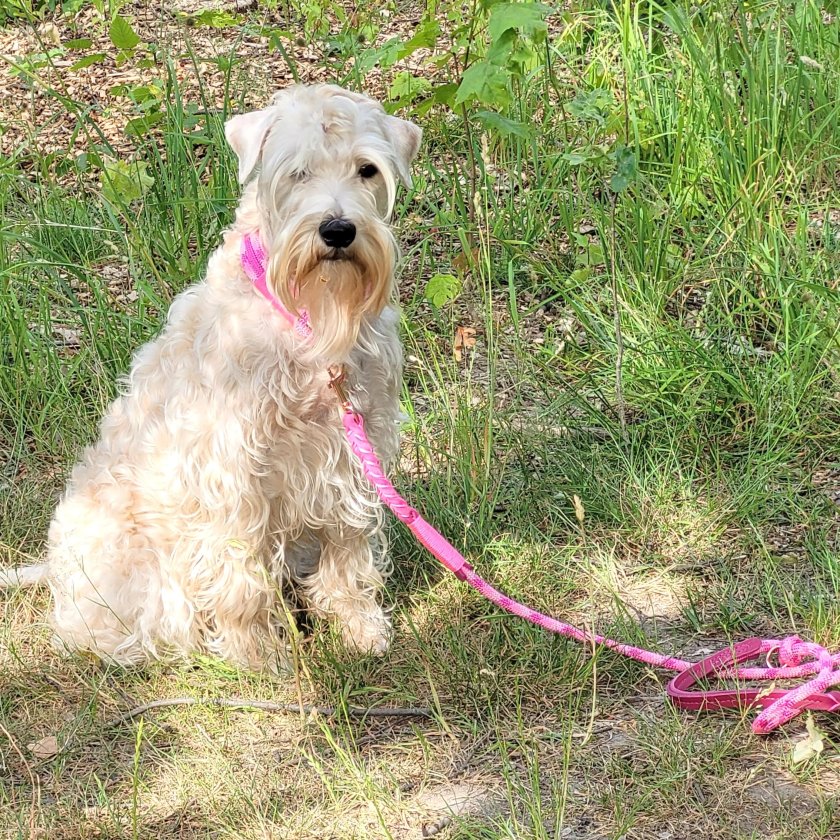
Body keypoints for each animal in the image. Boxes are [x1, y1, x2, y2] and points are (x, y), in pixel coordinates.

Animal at [0, 82, 420, 668]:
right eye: (296, 172)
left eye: (368, 169)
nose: (338, 230)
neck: (309, 322)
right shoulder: (231, 468)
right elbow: (240, 573)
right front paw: (257, 655)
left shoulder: (356, 446)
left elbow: (349, 549)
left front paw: (360, 627)